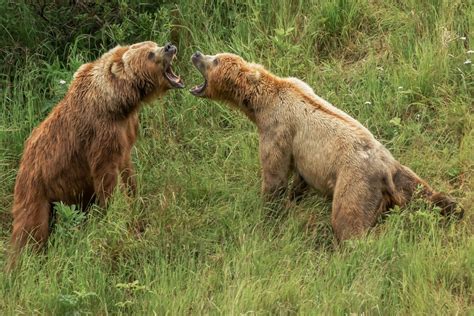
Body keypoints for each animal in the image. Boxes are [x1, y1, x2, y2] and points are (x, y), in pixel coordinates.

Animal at [8, 41, 185, 264]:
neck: (119, 103)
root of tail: (22, 163)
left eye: (153, 44)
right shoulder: (101, 136)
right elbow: (107, 179)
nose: (170, 47)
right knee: (30, 232)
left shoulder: (126, 133)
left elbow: (127, 174)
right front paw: (119, 217)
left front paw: (136, 202)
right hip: (36, 191)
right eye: (150, 54)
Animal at [189, 50, 462, 241]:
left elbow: (274, 173)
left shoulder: (277, 128)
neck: (259, 104)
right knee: (425, 193)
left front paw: (268, 209)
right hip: (401, 172)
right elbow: (300, 177)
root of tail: (384, 170)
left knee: (348, 222)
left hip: (355, 183)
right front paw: (294, 195)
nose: (196, 54)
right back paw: (454, 207)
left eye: (215, 60)